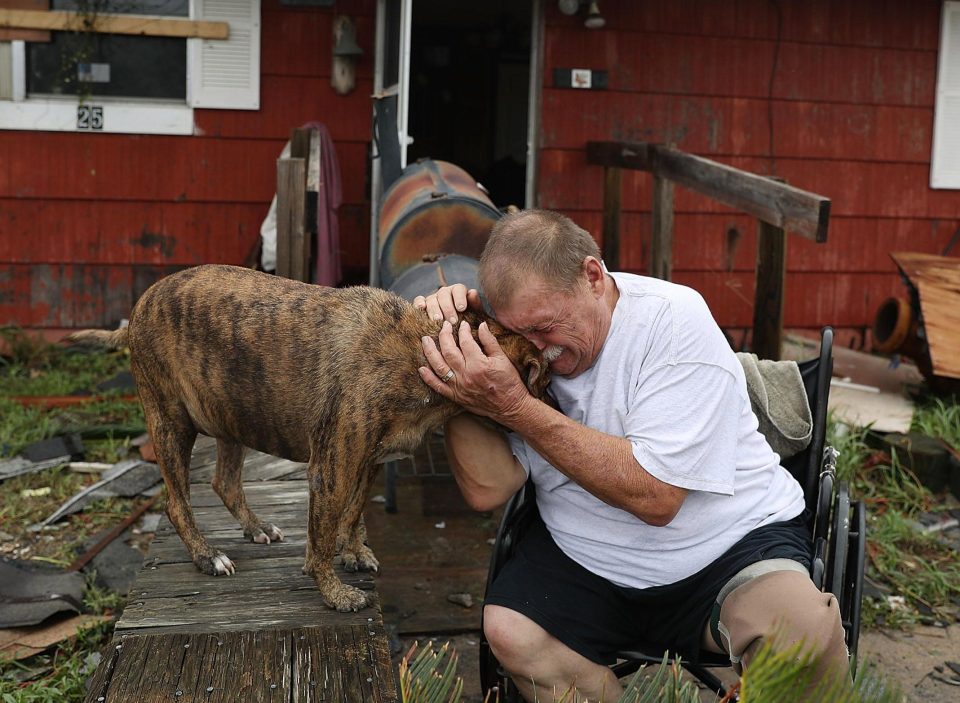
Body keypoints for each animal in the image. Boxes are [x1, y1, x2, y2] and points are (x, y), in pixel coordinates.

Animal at [67, 264, 548, 612]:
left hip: (231, 412)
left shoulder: (367, 461)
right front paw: (334, 593)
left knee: (225, 482)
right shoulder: (332, 469)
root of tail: (139, 308)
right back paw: (206, 556)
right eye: (542, 379)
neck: (424, 345)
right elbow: (320, 538)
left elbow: (352, 514)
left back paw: (256, 527)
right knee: (176, 502)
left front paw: (353, 552)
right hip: (170, 423)